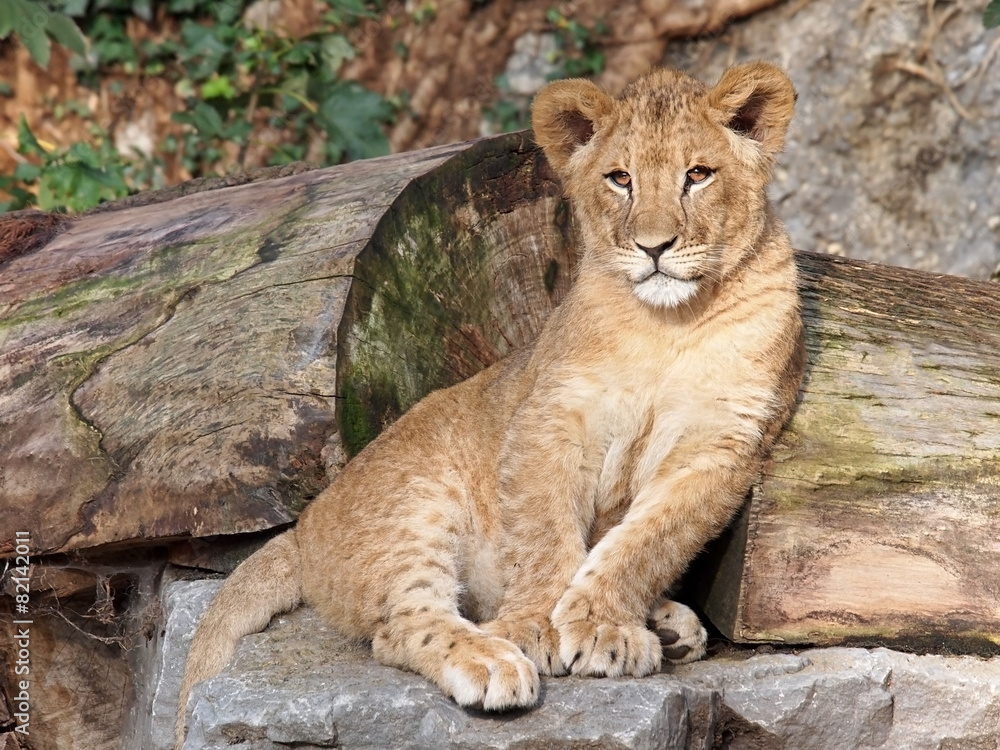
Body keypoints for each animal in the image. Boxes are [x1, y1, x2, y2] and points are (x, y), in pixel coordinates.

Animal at [176, 61, 804, 746]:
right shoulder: (551, 417)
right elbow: (544, 533)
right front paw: (545, 624)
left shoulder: (720, 444)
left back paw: (668, 627)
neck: (666, 326)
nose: (653, 247)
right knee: (401, 627)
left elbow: (648, 540)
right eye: (620, 179)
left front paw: (602, 623)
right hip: (417, 503)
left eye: (698, 175)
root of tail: (303, 525)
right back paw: (493, 658)